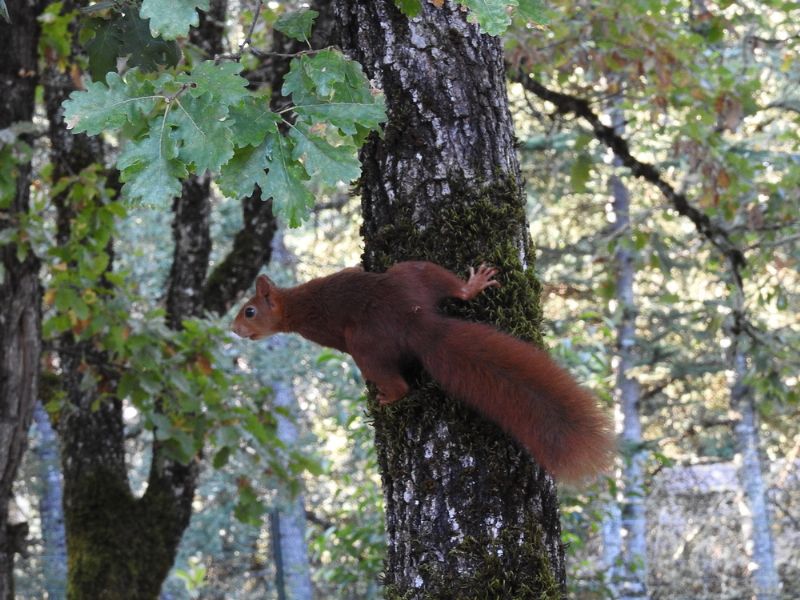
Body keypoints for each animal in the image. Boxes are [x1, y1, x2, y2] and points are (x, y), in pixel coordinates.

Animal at [231, 260, 612, 480]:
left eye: (249, 311)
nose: (234, 330)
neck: (294, 303)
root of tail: (417, 322)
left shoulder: (322, 330)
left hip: (367, 345)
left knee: (398, 383)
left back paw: (387, 397)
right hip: (415, 275)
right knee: (452, 288)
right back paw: (472, 285)